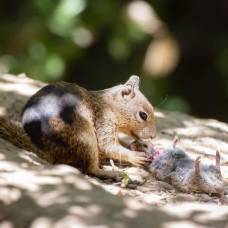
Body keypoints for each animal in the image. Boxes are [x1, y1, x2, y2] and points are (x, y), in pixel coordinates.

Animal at [12, 75, 155, 179]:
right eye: (143, 115)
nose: (153, 136)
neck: (109, 105)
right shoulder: (104, 121)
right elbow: (107, 145)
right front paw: (134, 156)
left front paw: (140, 145)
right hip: (85, 136)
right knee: (90, 169)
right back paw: (110, 173)